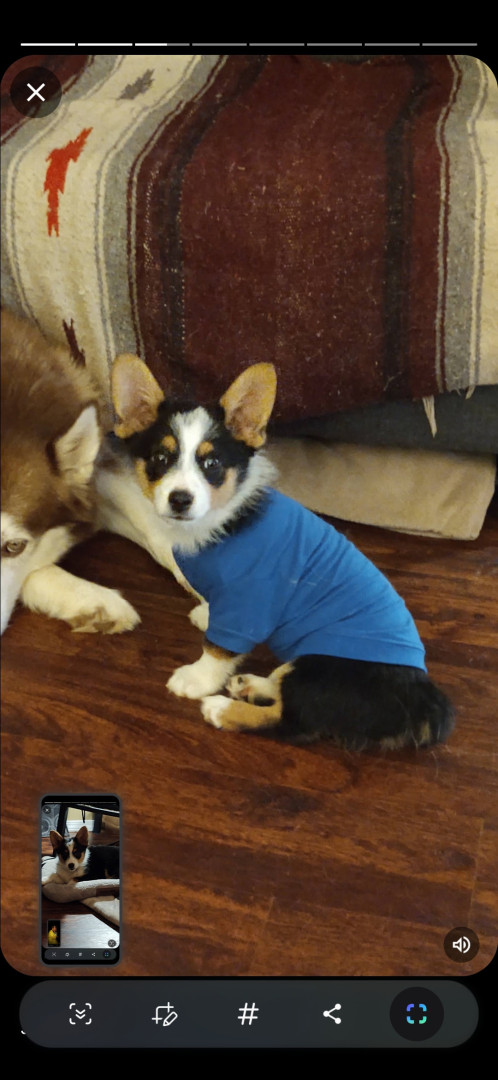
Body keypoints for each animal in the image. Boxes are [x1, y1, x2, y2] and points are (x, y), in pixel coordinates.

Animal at [96, 354, 455, 751]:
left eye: (212, 465)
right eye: (160, 458)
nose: (180, 499)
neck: (222, 521)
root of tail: (420, 707)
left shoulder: (249, 606)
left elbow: (217, 649)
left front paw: (195, 680)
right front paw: (207, 614)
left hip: (318, 670)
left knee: (290, 721)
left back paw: (223, 708)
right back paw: (252, 684)